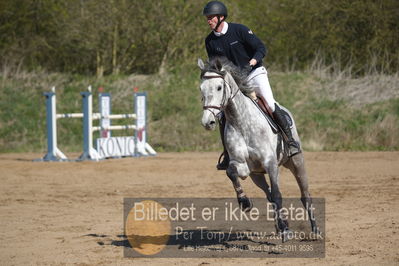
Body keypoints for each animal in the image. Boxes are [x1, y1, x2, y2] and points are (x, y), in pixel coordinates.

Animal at [200, 58, 318, 241]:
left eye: (219, 87)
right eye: (201, 89)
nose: (208, 122)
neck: (241, 122)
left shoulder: (270, 163)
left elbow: (277, 194)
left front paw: (286, 232)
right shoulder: (241, 164)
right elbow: (231, 173)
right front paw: (245, 203)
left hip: (297, 163)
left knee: (305, 195)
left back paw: (314, 230)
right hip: (257, 175)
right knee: (268, 194)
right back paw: (281, 225)